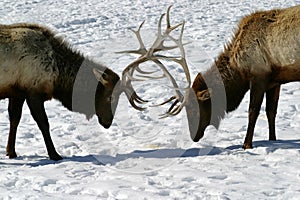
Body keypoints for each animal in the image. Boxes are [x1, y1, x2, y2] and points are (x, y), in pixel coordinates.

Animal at [0, 23, 145, 161]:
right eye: (111, 97)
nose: (108, 122)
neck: (57, 75)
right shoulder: (33, 93)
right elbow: (44, 124)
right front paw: (54, 154)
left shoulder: (18, 92)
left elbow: (15, 119)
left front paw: (11, 152)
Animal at [123, 5, 300, 148]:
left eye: (193, 109)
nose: (193, 137)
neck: (238, 70)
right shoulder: (274, 80)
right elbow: (271, 112)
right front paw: (273, 139)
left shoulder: (259, 76)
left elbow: (253, 111)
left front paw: (246, 144)